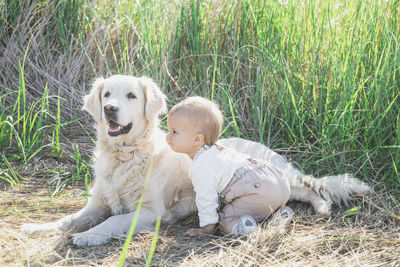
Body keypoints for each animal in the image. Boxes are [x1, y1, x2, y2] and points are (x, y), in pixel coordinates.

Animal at [21, 75, 372, 247]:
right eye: (107, 95)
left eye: (131, 96)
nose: (110, 109)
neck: (125, 155)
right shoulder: (96, 204)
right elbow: (69, 219)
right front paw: (39, 227)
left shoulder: (150, 212)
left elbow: (111, 222)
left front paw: (89, 236)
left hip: (280, 175)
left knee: (312, 185)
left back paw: (323, 206)